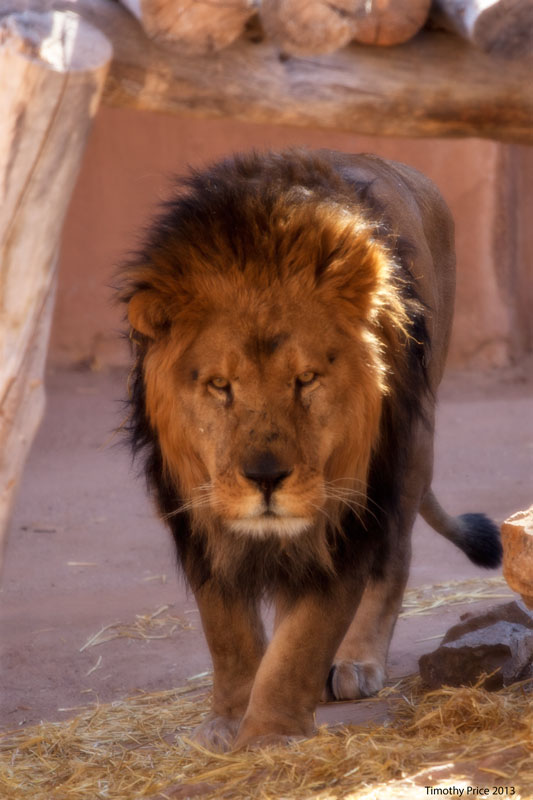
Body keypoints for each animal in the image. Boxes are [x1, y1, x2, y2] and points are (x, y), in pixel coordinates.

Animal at [120, 149, 502, 751]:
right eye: (220, 385)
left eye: (305, 379)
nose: (265, 478)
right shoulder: (197, 512)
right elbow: (226, 629)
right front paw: (229, 719)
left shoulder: (350, 506)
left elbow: (307, 635)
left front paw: (270, 736)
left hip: (412, 446)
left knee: (394, 559)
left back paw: (357, 661)